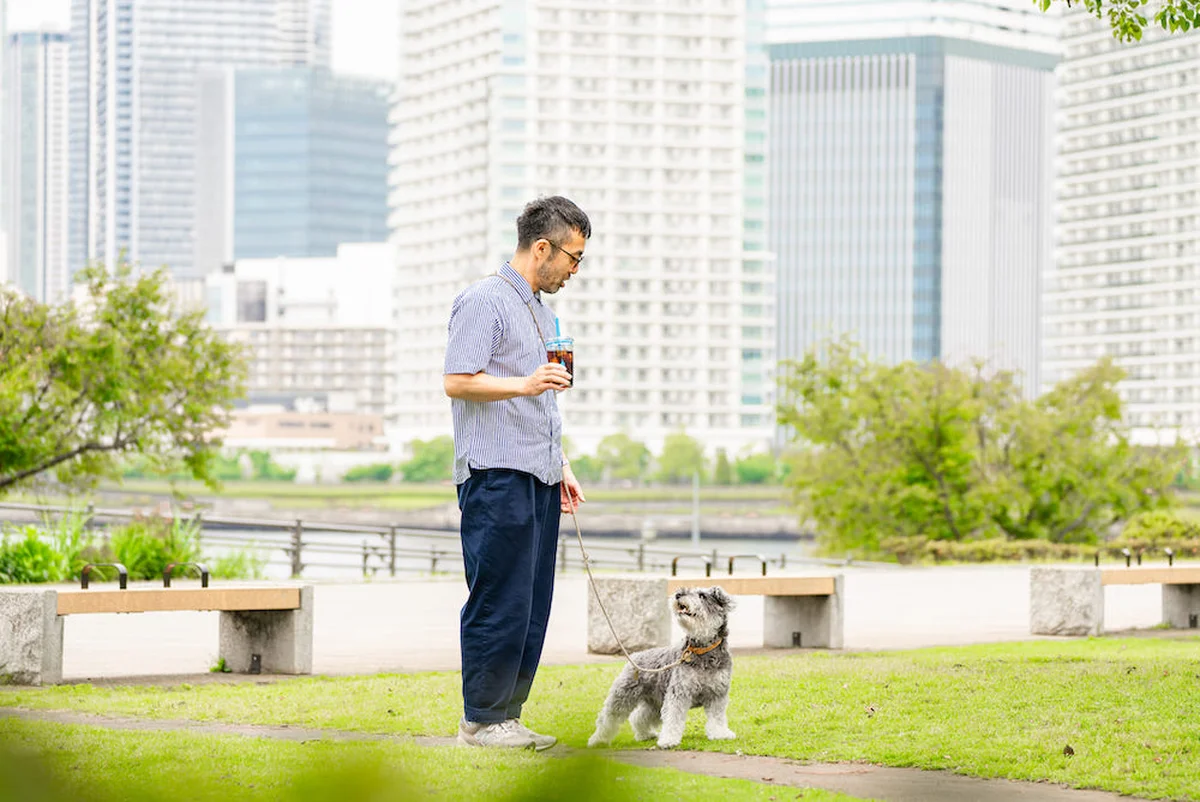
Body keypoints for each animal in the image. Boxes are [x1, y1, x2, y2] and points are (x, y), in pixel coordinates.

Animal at [585, 583, 734, 753]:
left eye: (702, 595)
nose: (679, 594)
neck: (702, 651)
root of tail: (635, 656)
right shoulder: (679, 693)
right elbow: (673, 718)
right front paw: (668, 740)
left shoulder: (717, 693)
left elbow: (717, 717)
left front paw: (720, 734)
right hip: (622, 697)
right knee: (608, 718)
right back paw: (598, 740)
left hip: (654, 703)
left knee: (638, 717)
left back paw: (645, 734)